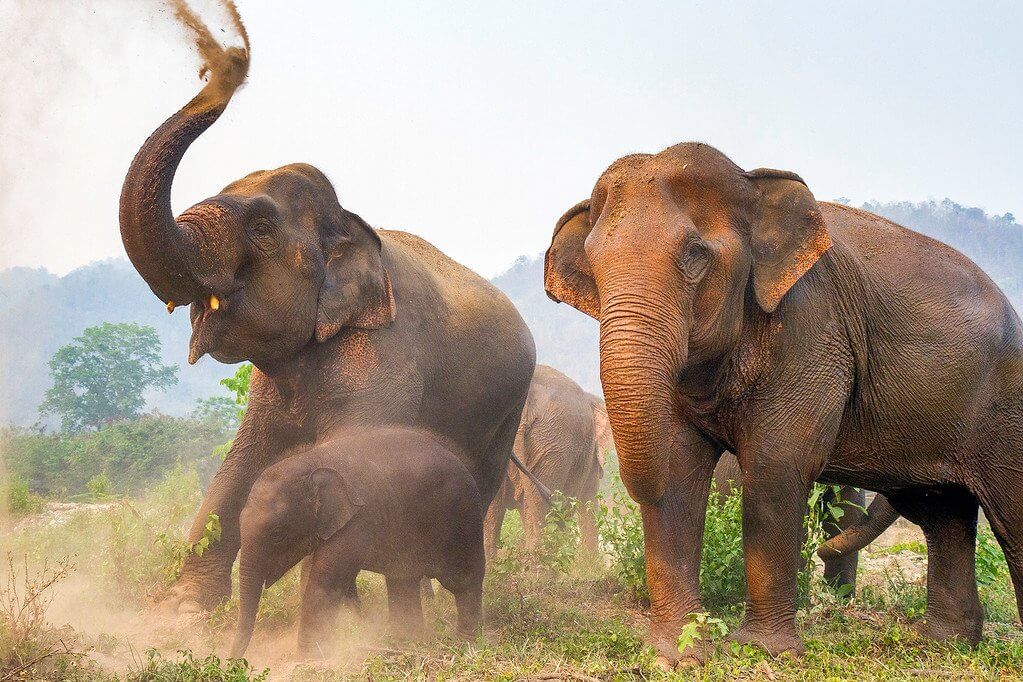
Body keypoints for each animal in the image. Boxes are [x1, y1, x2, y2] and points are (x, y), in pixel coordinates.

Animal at [119, 42, 535, 613]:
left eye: (262, 228)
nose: (225, 66)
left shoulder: (384, 364)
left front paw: (339, 617)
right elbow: (239, 468)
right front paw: (183, 611)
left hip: (506, 413)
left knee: (476, 487)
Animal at [230, 428, 485, 659]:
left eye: (277, 534)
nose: (233, 662)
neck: (313, 460)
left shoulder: (358, 519)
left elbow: (324, 579)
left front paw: (308, 660)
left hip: (463, 517)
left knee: (462, 579)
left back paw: (465, 643)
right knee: (402, 579)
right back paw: (406, 640)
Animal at [544, 141, 1023, 662]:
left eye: (695, 254)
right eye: (593, 264)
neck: (752, 182)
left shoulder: (812, 328)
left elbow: (775, 465)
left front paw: (761, 650)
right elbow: (677, 468)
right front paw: (678, 654)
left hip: (1006, 406)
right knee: (942, 515)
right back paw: (944, 644)